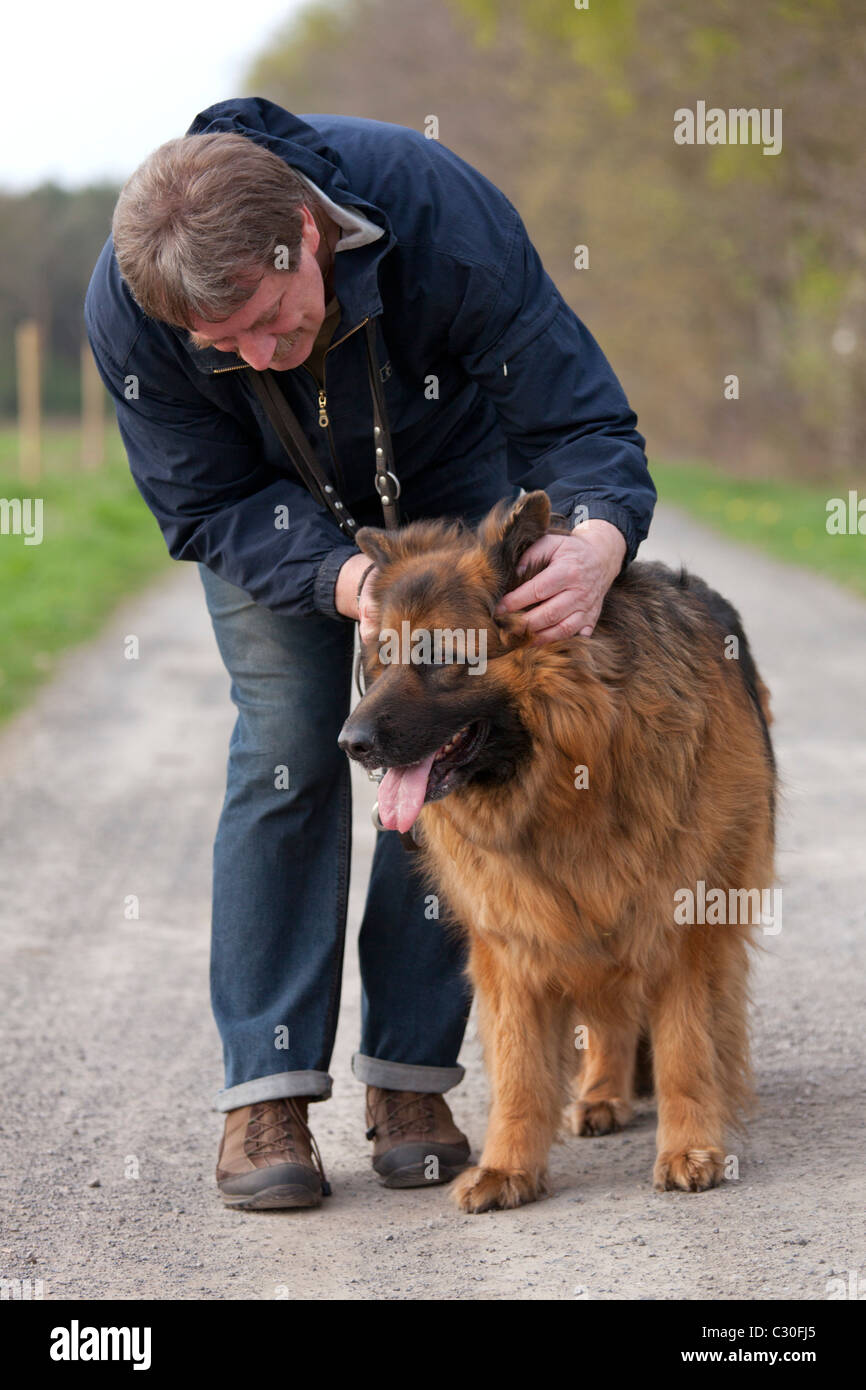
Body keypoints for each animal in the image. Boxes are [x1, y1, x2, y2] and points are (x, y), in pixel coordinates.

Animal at [337, 494, 772, 1212]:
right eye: (380, 656)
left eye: (439, 655)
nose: (351, 743)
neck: (568, 777)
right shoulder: (513, 938)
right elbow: (520, 1068)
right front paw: (507, 1166)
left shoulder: (685, 925)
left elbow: (687, 1049)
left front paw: (690, 1147)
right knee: (609, 1017)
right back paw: (601, 1093)